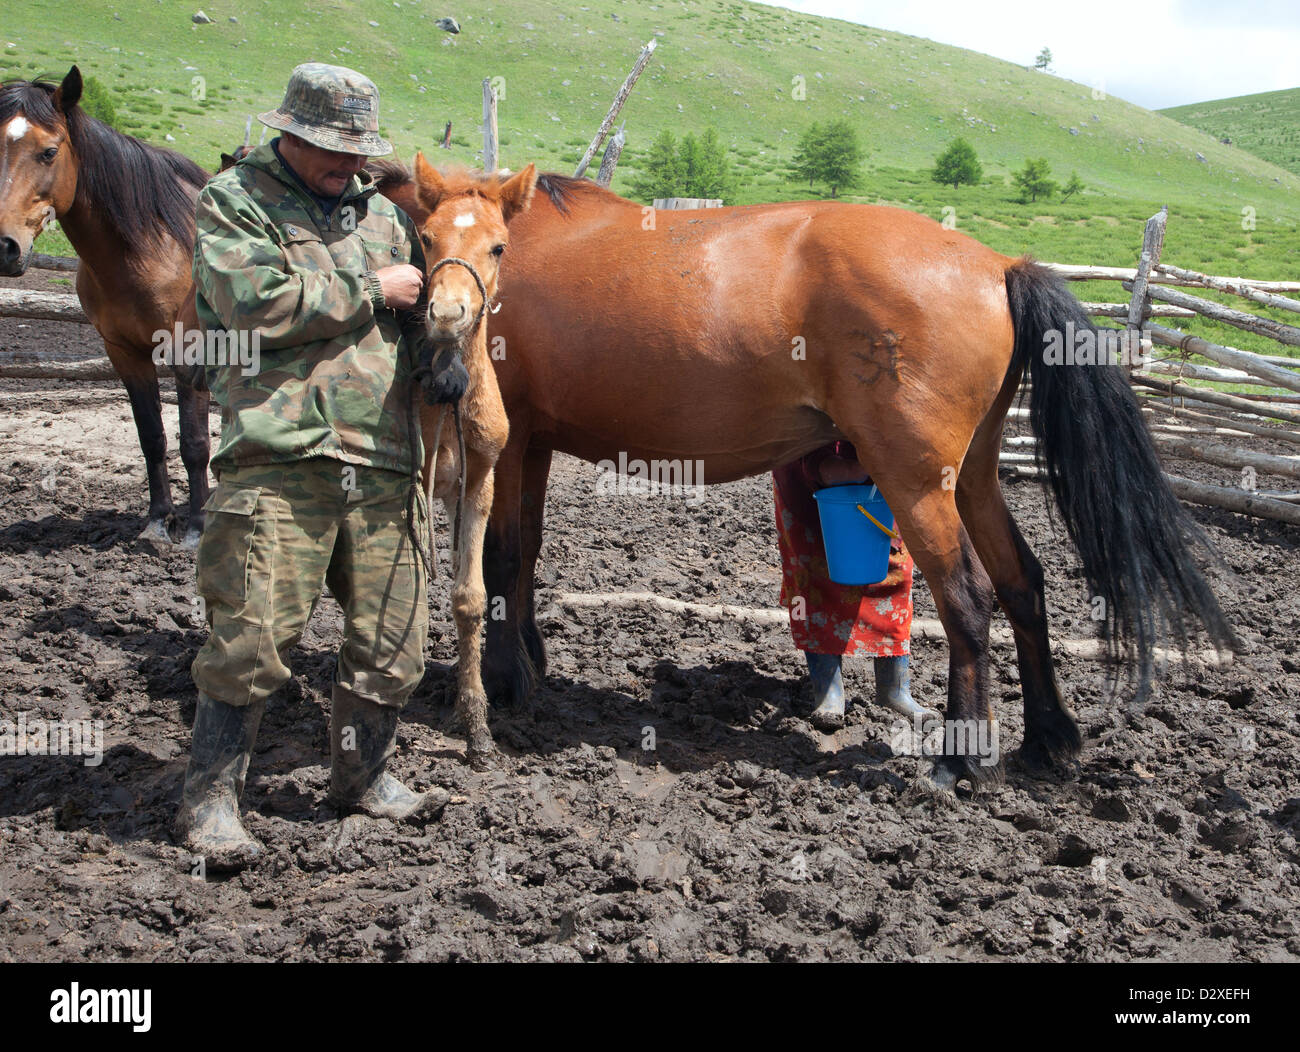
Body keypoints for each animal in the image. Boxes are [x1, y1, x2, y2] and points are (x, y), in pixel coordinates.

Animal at [0, 67, 210, 540]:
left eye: (49, 152)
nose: (3, 246)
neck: (151, 246)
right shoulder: (123, 352)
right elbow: (152, 436)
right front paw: (158, 521)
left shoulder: (190, 353)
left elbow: (194, 442)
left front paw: (197, 527)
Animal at [374, 163, 1237, 790]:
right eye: (424, 237)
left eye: (492, 249)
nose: (442, 318)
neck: (507, 255)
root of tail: (997, 265)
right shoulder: (540, 445)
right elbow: (526, 558)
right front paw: (530, 660)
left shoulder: (512, 441)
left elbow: (502, 561)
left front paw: (506, 680)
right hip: (972, 477)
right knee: (1023, 584)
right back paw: (1048, 737)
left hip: (917, 483)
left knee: (968, 600)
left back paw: (959, 760)